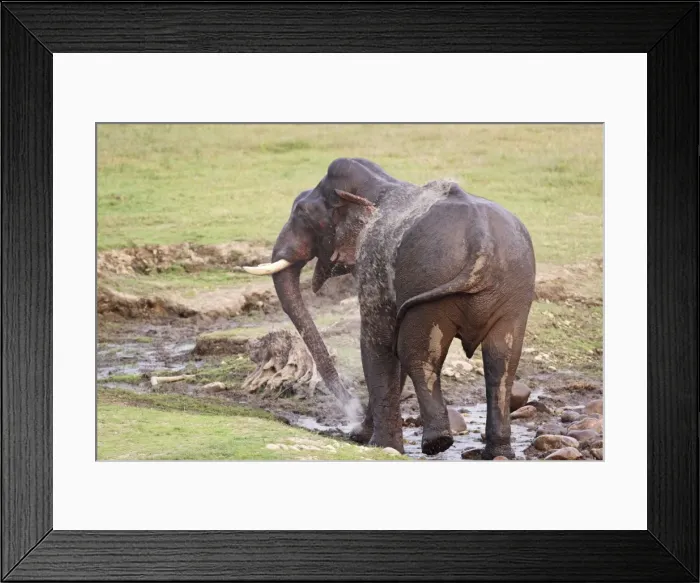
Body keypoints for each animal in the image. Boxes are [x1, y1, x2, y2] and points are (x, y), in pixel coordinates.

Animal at [244, 158, 535, 459]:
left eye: (301, 213)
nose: (351, 416)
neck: (380, 182)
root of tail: (483, 243)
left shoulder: (373, 263)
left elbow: (378, 342)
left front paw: (379, 445)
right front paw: (365, 436)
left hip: (430, 284)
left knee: (418, 354)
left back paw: (436, 443)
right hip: (513, 292)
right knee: (502, 360)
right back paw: (498, 453)